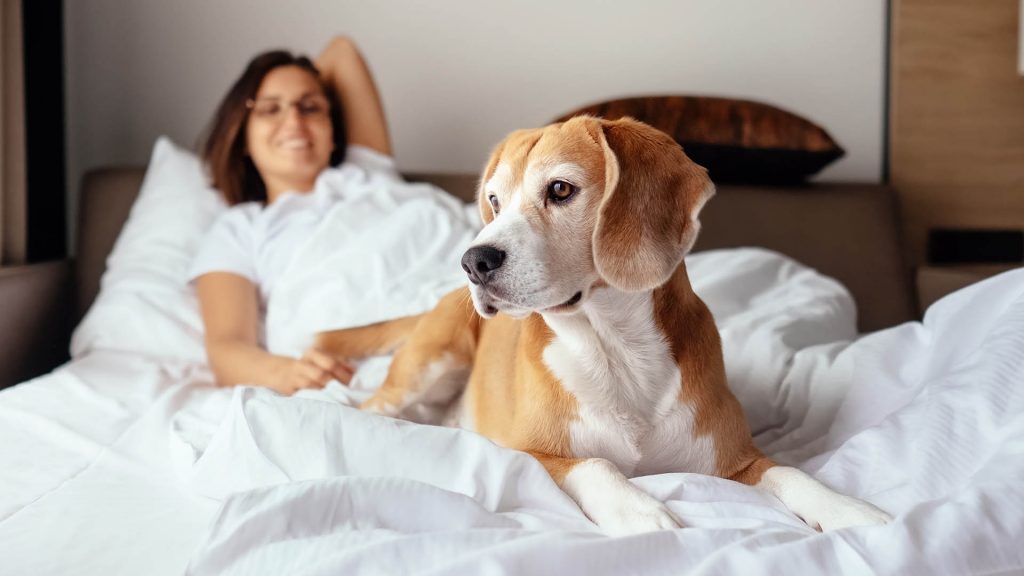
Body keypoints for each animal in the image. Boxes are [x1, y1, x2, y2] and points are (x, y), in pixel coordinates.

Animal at [317, 115, 888, 532]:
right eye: (495, 201)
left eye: (560, 190)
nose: (473, 261)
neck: (615, 348)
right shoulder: (530, 454)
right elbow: (596, 464)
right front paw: (638, 509)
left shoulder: (738, 461)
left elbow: (792, 472)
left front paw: (849, 509)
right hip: (429, 363)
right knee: (368, 407)